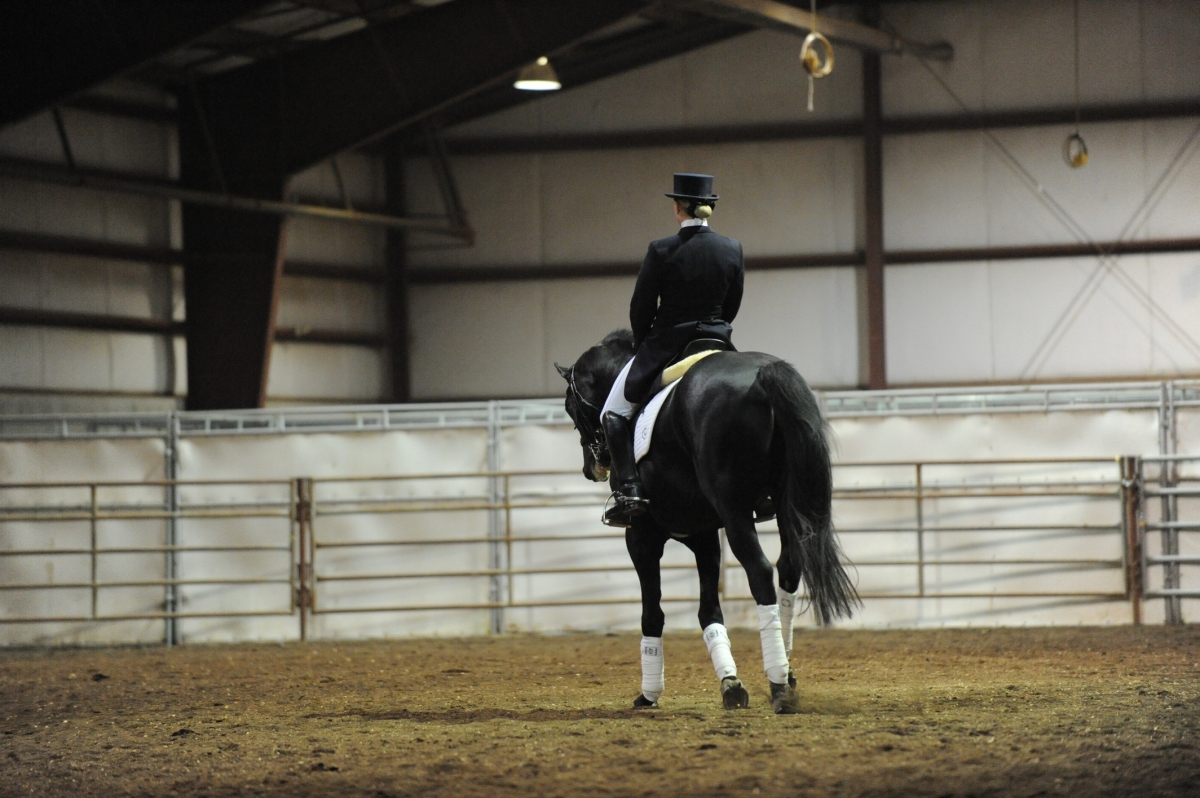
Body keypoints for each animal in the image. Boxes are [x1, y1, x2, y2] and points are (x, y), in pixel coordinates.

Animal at [556, 329, 858, 714]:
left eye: (570, 405)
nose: (590, 467)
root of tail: (766, 373)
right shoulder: (704, 537)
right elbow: (708, 611)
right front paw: (730, 683)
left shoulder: (641, 537)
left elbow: (652, 613)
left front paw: (649, 694)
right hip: (786, 502)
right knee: (788, 567)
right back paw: (787, 673)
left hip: (733, 510)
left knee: (760, 570)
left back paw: (778, 684)